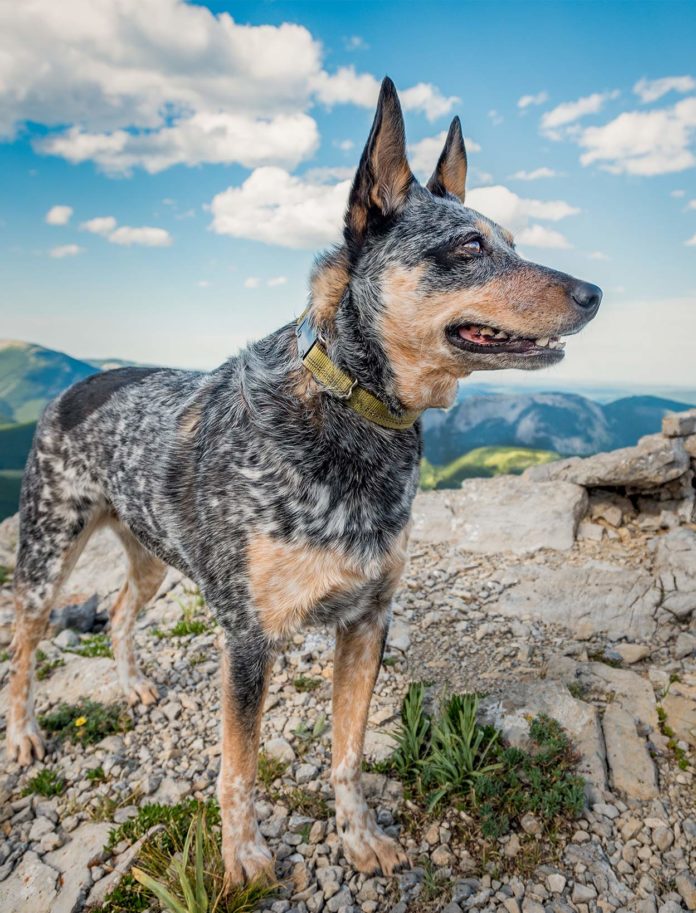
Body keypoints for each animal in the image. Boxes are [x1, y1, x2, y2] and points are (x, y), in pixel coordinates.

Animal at [5, 76, 600, 884]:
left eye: (512, 240)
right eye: (471, 246)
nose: (595, 292)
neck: (351, 409)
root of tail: (74, 384)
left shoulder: (367, 620)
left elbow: (347, 752)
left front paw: (358, 835)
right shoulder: (248, 640)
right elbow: (239, 768)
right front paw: (244, 856)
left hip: (151, 555)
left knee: (124, 611)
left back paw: (129, 682)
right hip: (46, 552)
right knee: (23, 648)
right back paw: (23, 734)